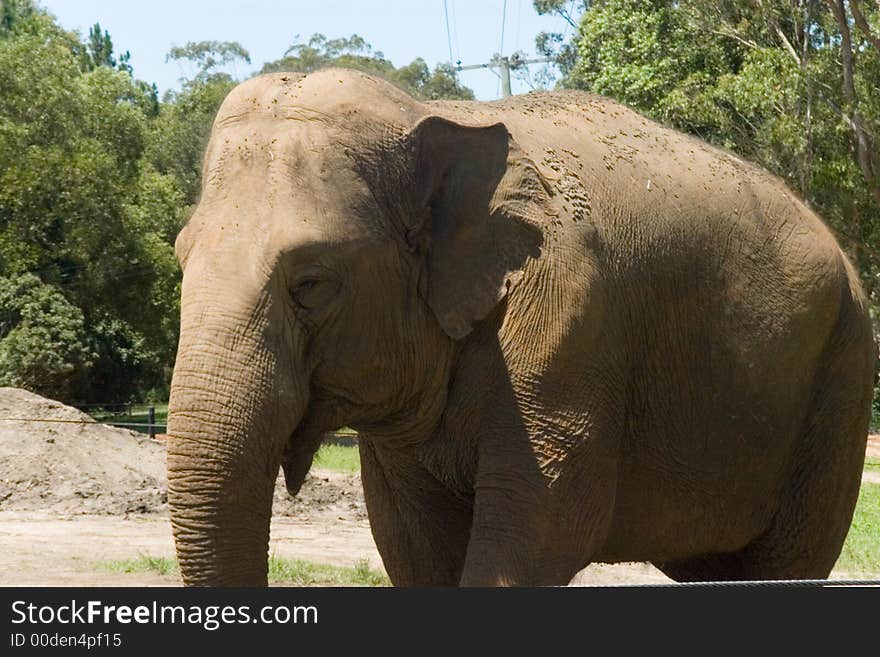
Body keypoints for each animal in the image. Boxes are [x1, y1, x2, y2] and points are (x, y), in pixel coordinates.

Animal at [165, 69, 872, 588]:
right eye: (179, 258)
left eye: (310, 284)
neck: (432, 114)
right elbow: (414, 544)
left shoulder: (570, 321)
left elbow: (545, 523)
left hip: (839, 381)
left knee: (789, 560)